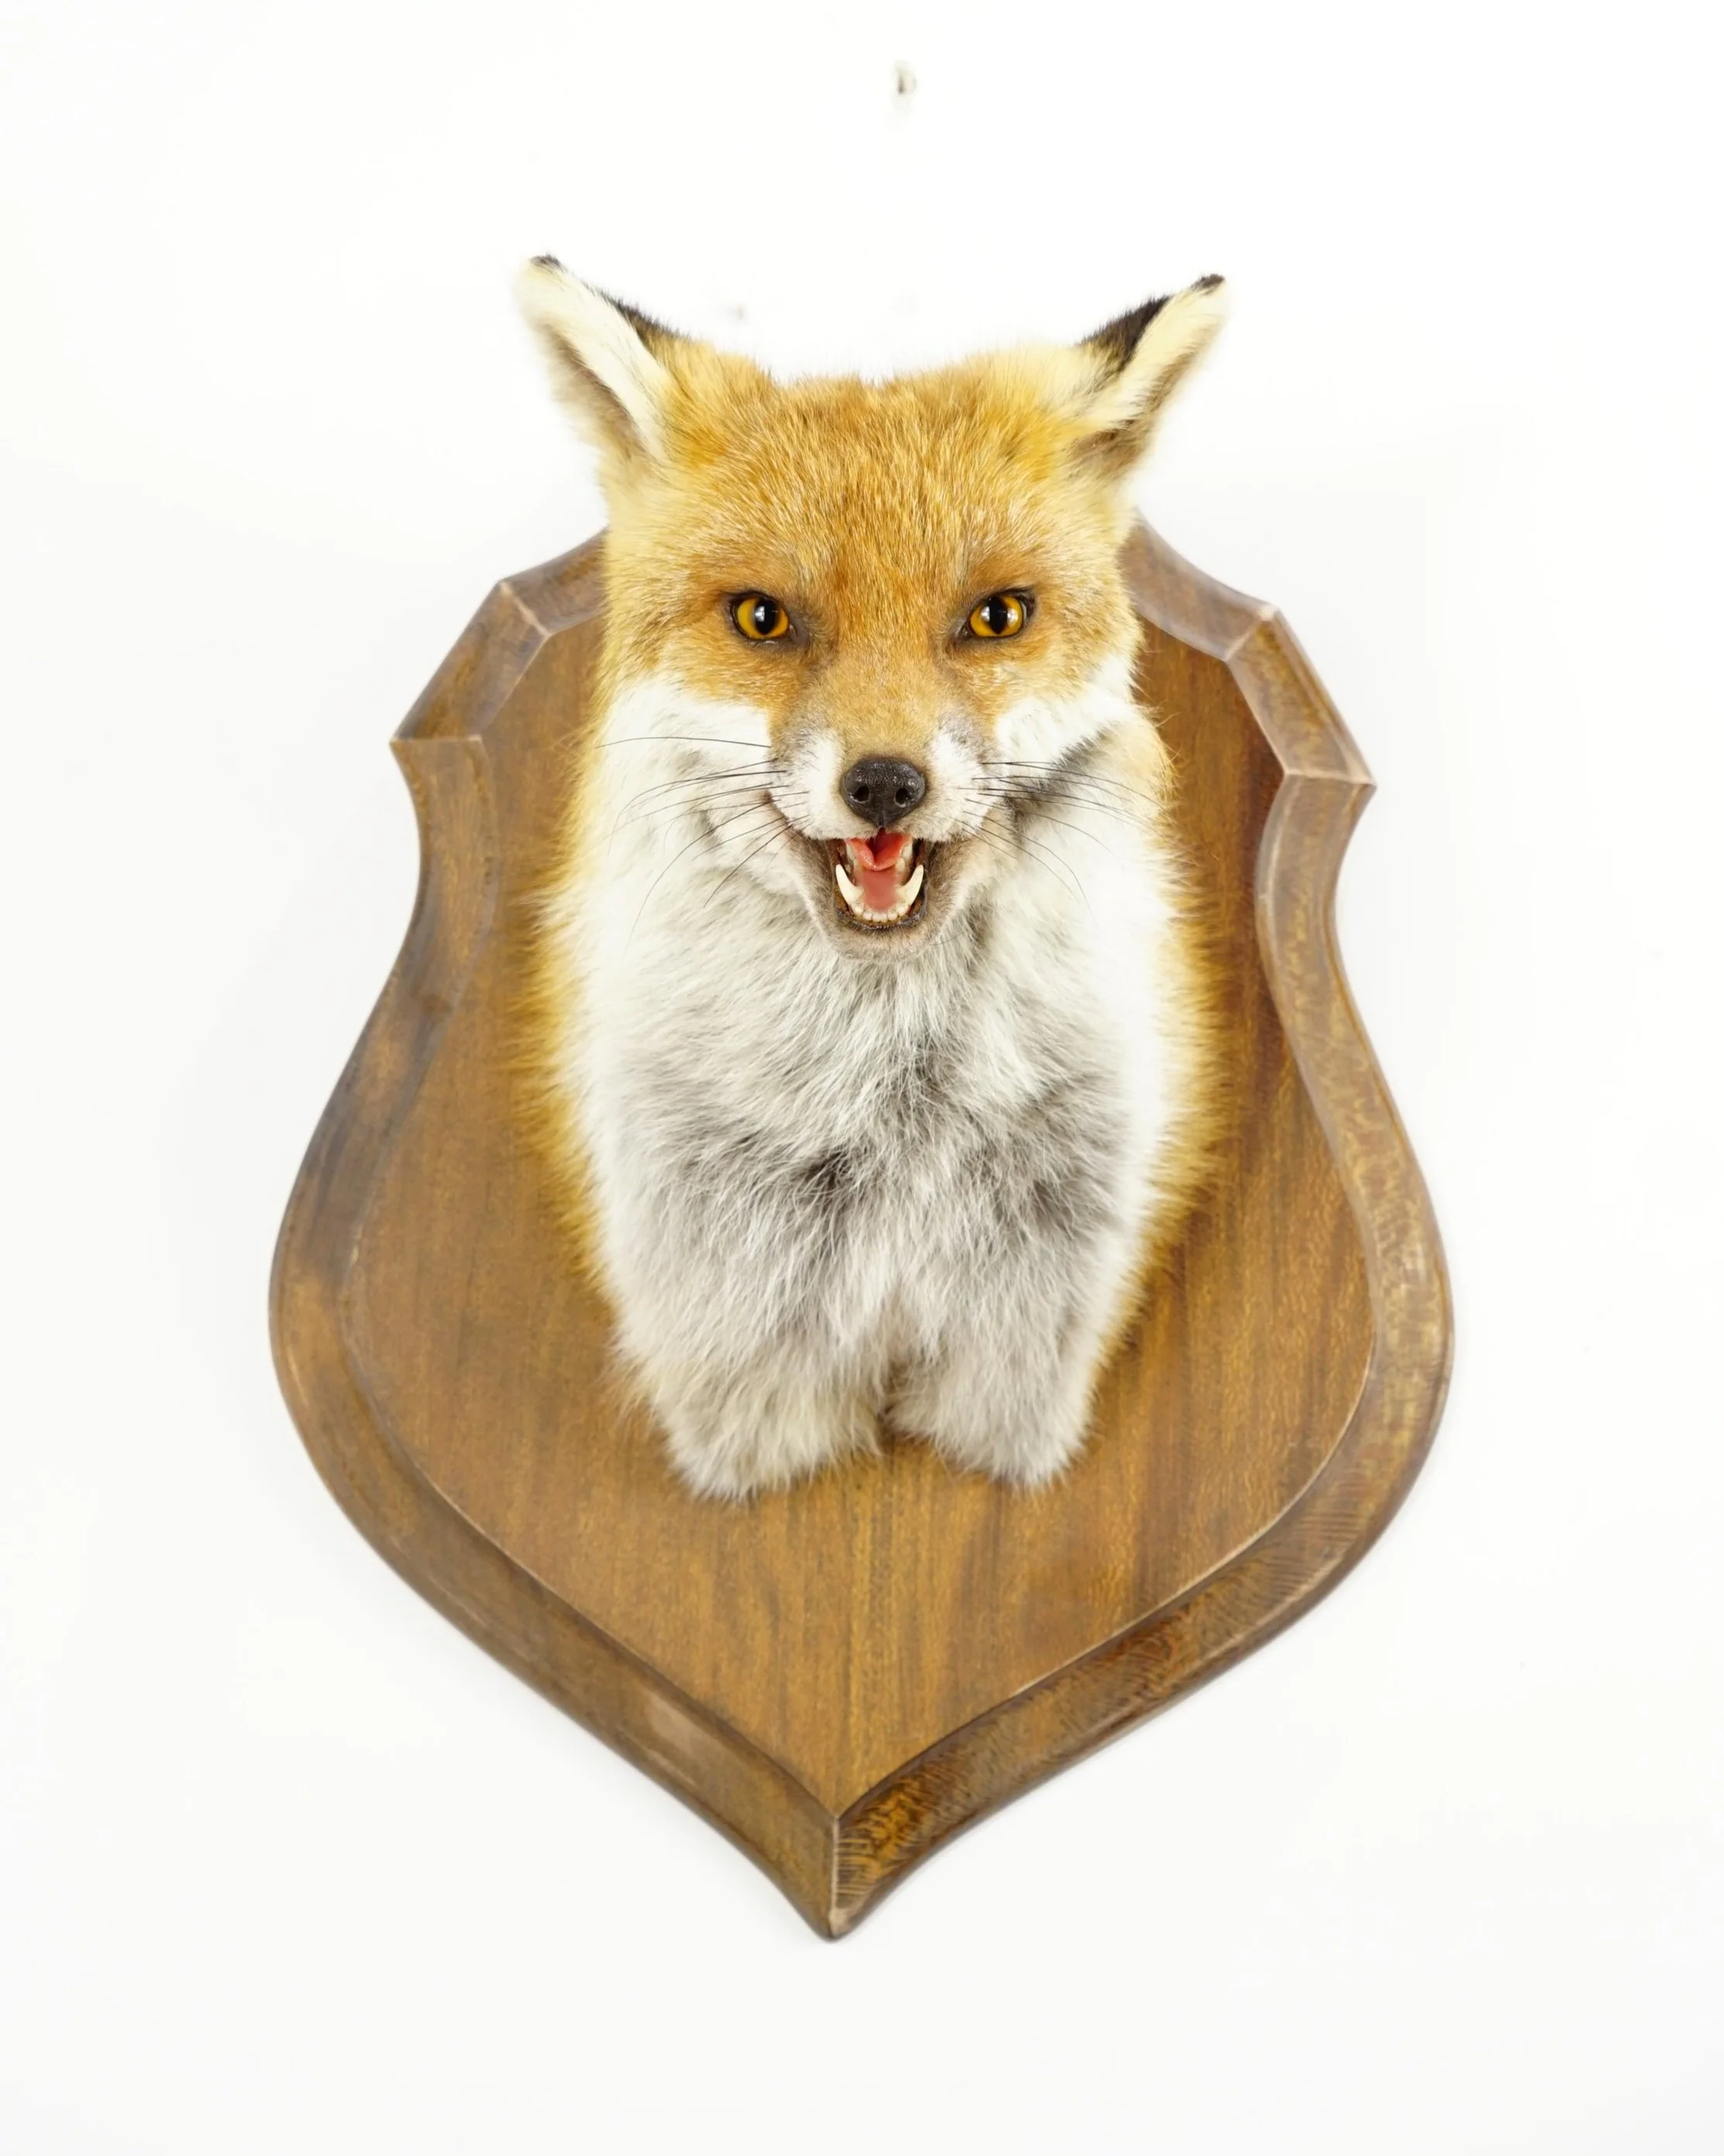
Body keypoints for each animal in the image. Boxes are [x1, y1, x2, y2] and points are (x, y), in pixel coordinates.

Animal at [516, 257, 1225, 1500]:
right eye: (763, 618)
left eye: (995, 616)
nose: (885, 784)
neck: (888, 1115)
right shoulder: (732, 1332)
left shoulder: (1033, 1320)